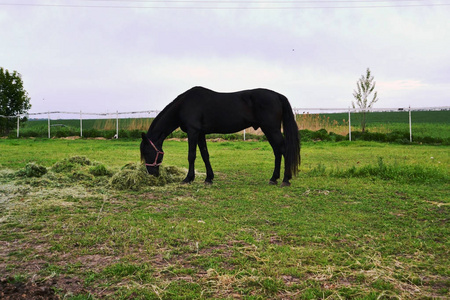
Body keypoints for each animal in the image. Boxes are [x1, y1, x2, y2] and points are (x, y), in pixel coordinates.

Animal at [140, 85, 302, 186]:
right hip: (269, 130)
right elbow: (205, 155)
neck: (184, 105)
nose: (151, 174)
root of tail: (278, 96)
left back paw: (285, 180)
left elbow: (191, 155)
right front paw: (209, 178)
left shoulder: (193, 132)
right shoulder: (200, 133)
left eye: (147, 152)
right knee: (277, 151)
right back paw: (274, 178)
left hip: (271, 129)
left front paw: (188, 179)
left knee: (283, 150)